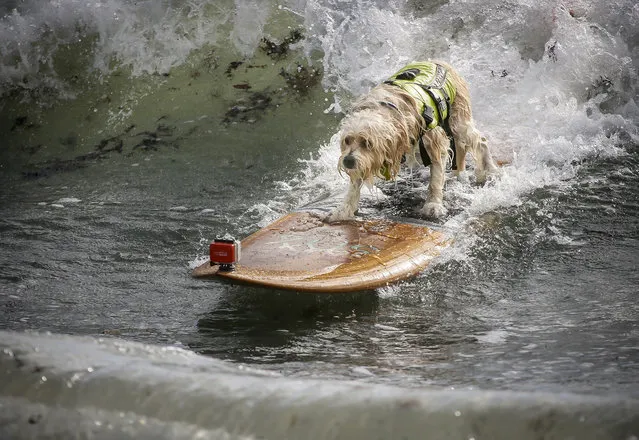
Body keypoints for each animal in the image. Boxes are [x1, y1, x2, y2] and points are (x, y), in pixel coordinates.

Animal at [328, 59, 502, 222]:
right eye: (347, 140)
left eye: (367, 143)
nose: (347, 161)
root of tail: (441, 62)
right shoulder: (365, 159)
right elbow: (355, 184)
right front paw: (345, 209)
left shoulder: (434, 143)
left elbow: (435, 180)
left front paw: (433, 205)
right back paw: (458, 173)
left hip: (459, 121)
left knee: (481, 141)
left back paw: (491, 170)